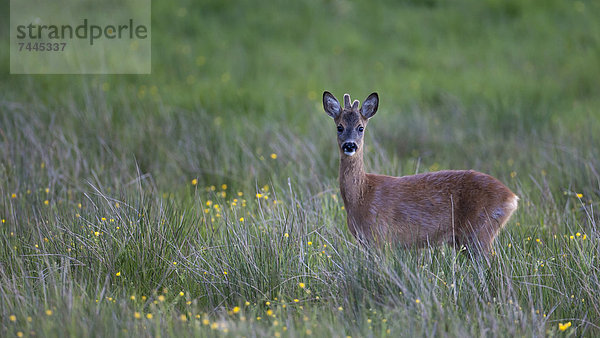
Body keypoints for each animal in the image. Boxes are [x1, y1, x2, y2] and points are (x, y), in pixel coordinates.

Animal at [322, 91, 516, 255]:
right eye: (340, 127)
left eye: (360, 127)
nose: (350, 145)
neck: (361, 196)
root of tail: (511, 198)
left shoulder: (380, 236)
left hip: (479, 231)